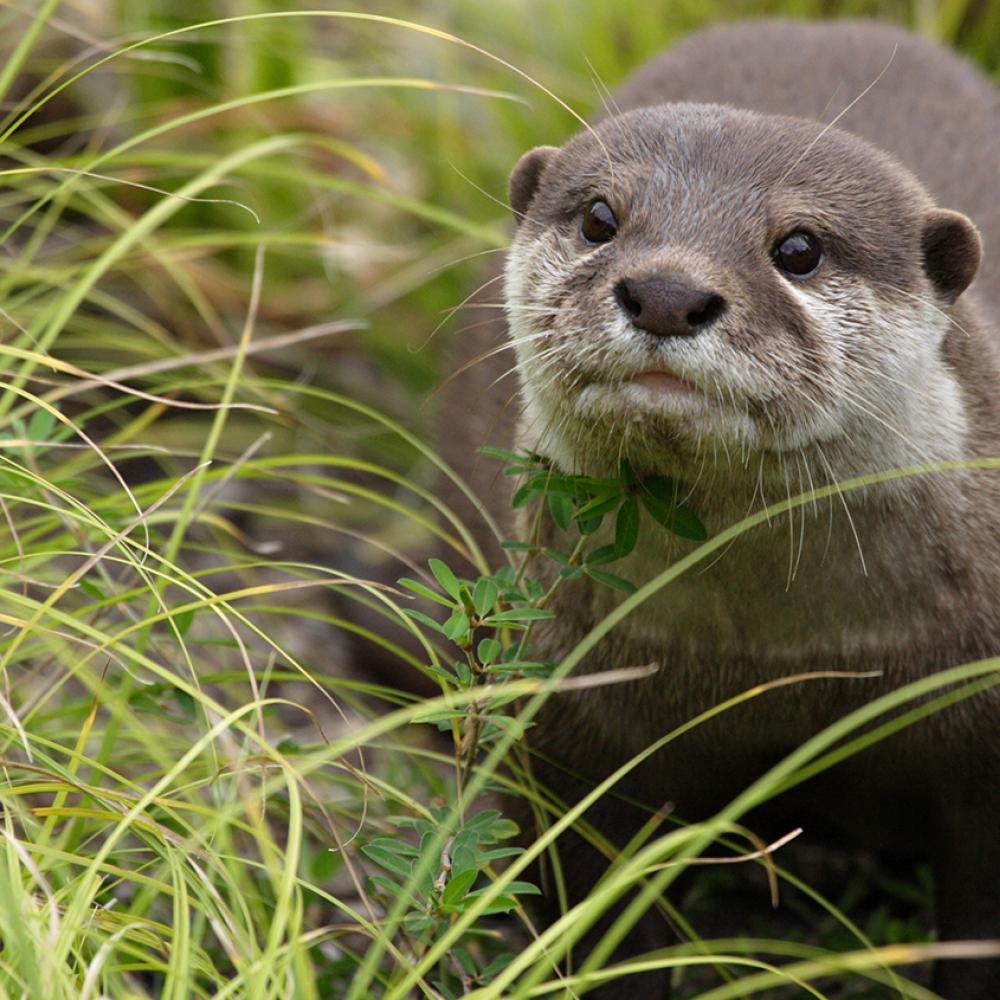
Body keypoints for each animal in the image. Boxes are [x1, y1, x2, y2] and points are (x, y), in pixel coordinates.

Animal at [448, 17, 1000, 1000]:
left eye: (800, 248)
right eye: (599, 218)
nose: (666, 293)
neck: (776, 662)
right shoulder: (567, 717)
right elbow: (594, 909)